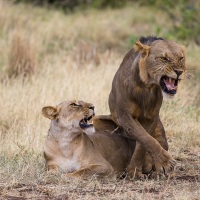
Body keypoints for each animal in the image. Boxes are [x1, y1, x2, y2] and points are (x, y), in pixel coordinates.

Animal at [107, 35, 187, 177]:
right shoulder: (125, 115)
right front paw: (165, 161)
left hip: (160, 129)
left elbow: (143, 143)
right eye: (164, 58)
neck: (147, 86)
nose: (179, 71)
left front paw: (135, 170)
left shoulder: (152, 117)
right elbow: (145, 138)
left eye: (181, 58)